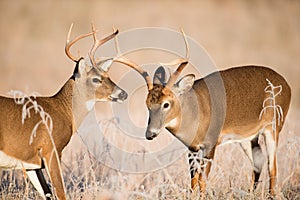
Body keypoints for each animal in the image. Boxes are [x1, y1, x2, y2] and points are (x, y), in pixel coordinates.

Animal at [0, 25, 145, 200]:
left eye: (108, 75)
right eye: (96, 79)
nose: (123, 93)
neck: (63, 110)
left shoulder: (30, 162)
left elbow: (48, 193)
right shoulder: (51, 149)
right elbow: (61, 192)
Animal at [139, 30, 292, 195]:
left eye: (166, 104)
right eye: (147, 104)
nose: (150, 133)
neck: (196, 112)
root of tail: (287, 85)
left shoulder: (211, 142)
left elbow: (203, 180)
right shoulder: (192, 148)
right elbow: (193, 180)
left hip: (274, 126)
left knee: (273, 166)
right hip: (247, 137)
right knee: (259, 162)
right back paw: (250, 192)